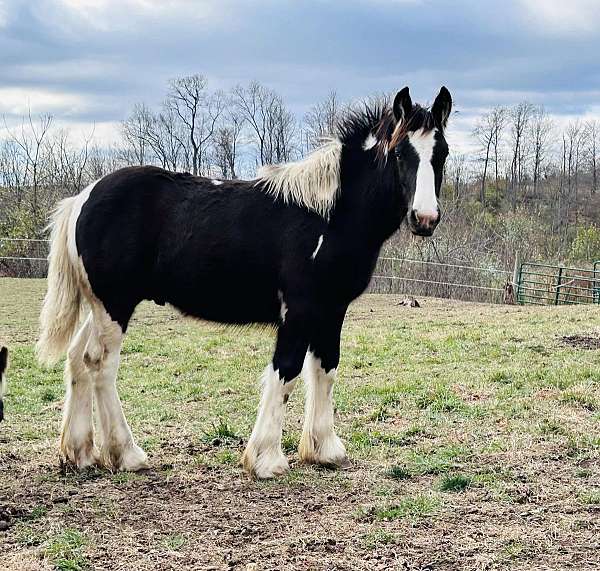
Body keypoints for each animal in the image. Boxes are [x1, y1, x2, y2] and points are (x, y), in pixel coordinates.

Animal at [37, 85, 450, 478]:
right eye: (400, 154)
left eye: (442, 153)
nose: (425, 218)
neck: (327, 216)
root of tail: (82, 198)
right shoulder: (298, 311)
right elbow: (286, 372)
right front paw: (266, 459)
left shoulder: (331, 311)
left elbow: (325, 370)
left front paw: (324, 450)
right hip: (115, 305)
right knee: (100, 363)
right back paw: (127, 454)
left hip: (99, 306)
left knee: (77, 359)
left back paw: (80, 454)